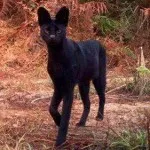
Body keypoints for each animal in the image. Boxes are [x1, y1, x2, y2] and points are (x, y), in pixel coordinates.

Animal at [37, 6, 106, 146]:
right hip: (83, 84)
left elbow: (66, 116)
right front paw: (57, 120)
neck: (57, 56)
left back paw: (100, 116)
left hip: (99, 79)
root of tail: (98, 43)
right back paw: (81, 122)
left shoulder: (68, 88)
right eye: (47, 29)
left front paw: (60, 141)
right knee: (87, 103)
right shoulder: (58, 85)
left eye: (58, 30)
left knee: (102, 97)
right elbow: (52, 107)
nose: (52, 37)